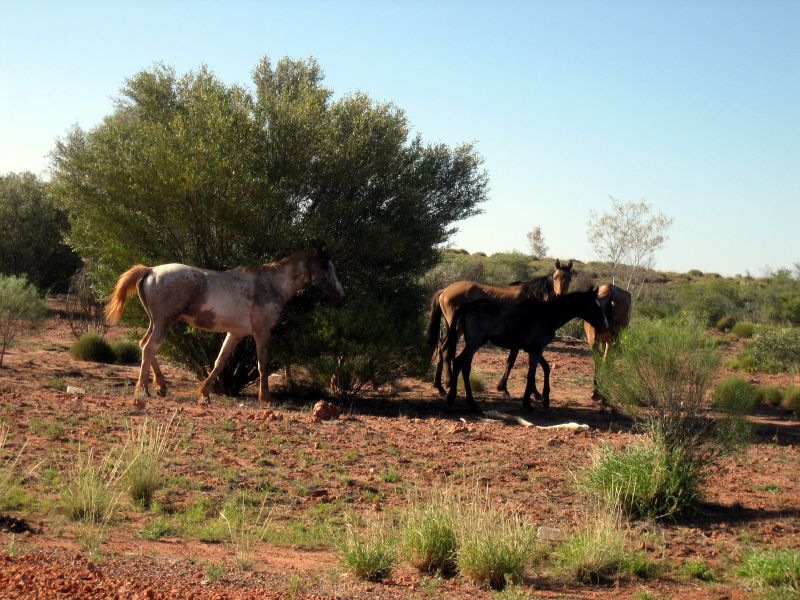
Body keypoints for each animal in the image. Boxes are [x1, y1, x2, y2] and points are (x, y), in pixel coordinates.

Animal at [105, 248, 345, 408]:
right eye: (325, 266)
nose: (340, 293)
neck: (270, 285)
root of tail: (151, 270)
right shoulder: (262, 333)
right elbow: (263, 365)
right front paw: (265, 397)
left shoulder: (235, 334)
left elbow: (220, 361)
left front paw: (204, 393)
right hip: (164, 322)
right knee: (149, 349)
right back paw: (142, 390)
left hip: (156, 322)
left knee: (145, 345)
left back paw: (160, 386)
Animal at [427, 259, 573, 399]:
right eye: (555, 277)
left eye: (569, 279)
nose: (560, 297)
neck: (533, 296)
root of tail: (444, 291)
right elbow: (514, 362)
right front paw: (507, 389)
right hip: (457, 328)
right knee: (445, 350)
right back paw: (447, 383)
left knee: (442, 349)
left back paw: (439, 386)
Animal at [445, 288, 608, 411]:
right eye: (595, 306)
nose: (605, 325)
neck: (548, 315)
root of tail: (467, 306)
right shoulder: (537, 349)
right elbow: (531, 374)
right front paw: (528, 403)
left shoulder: (533, 349)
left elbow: (545, 368)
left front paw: (544, 399)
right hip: (474, 343)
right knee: (459, 362)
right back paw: (452, 397)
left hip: (474, 344)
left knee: (465, 367)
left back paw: (471, 402)